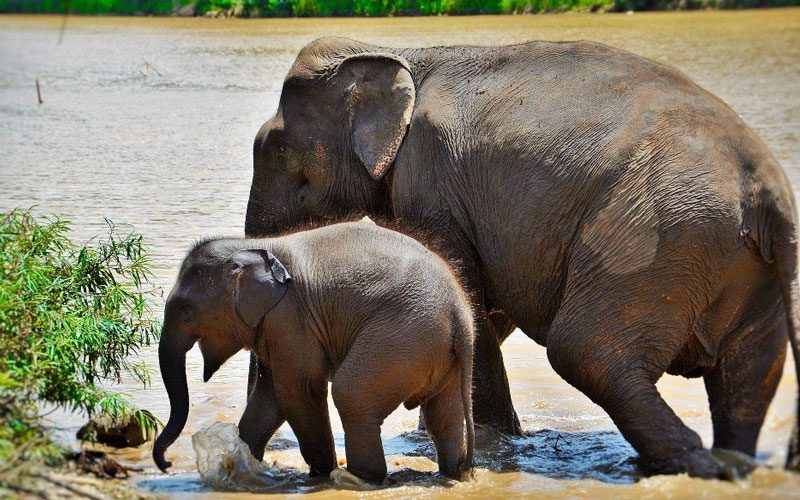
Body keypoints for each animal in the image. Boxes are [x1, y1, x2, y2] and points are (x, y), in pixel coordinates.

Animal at [151, 220, 476, 484]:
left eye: (186, 312)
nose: (167, 464)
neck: (252, 246)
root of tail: (460, 313)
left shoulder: (290, 317)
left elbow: (299, 390)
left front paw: (319, 473)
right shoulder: (275, 326)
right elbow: (270, 395)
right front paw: (242, 463)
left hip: (402, 335)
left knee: (350, 394)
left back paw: (357, 478)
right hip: (433, 347)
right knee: (443, 415)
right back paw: (453, 473)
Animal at [243, 36, 800, 478]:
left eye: (275, 148)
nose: (258, 456)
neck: (406, 54)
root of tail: (767, 185)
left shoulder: (430, 184)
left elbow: (469, 293)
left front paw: (489, 438)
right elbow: (489, 309)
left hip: (657, 236)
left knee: (585, 351)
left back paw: (693, 465)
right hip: (740, 265)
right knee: (748, 376)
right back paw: (727, 464)